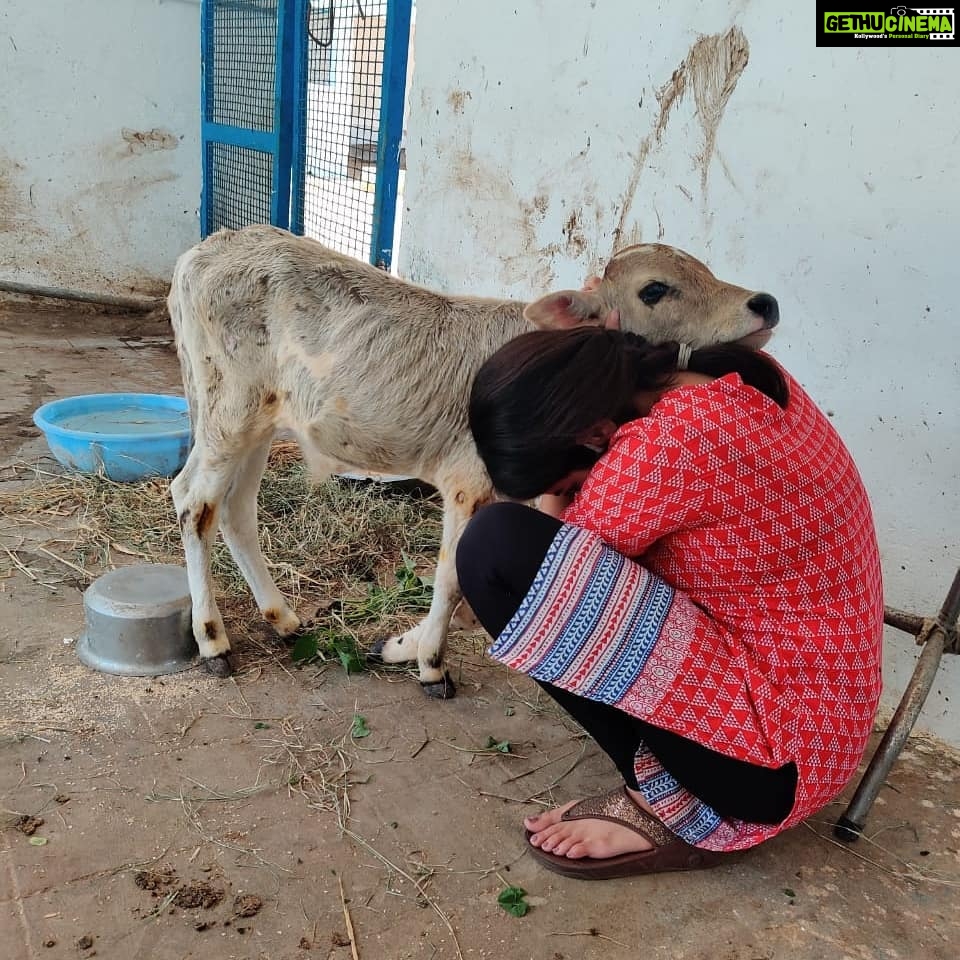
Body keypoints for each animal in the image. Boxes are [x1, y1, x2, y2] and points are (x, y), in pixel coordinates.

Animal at [167, 227, 780, 696]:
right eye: (655, 289)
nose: (764, 302)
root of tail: (206, 250)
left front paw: (404, 645)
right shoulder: (469, 481)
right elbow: (451, 576)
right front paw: (431, 666)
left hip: (259, 420)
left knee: (235, 510)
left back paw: (283, 618)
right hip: (230, 408)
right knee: (195, 500)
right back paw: (212, 638)